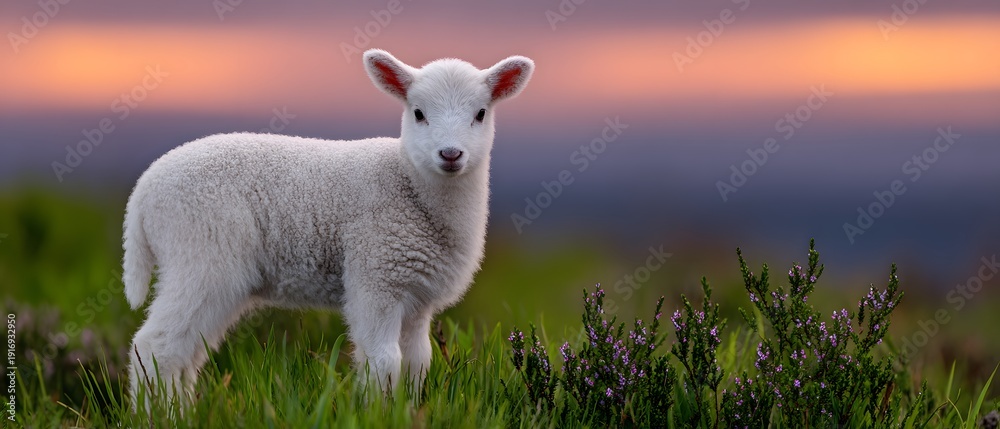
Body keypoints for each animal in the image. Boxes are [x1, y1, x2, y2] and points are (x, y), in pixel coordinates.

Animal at [122, 49, 534, 403]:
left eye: (481, 113)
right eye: (418, 113)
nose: (450, 154)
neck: (410, 183)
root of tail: (142, 193)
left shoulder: (416, 295)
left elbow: (417, 361)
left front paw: (407, 409)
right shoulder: (375, 275)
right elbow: (383, 361)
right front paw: (376, 412)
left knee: (186, 353)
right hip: (201, 253)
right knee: (156, 344)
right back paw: (156, 415)